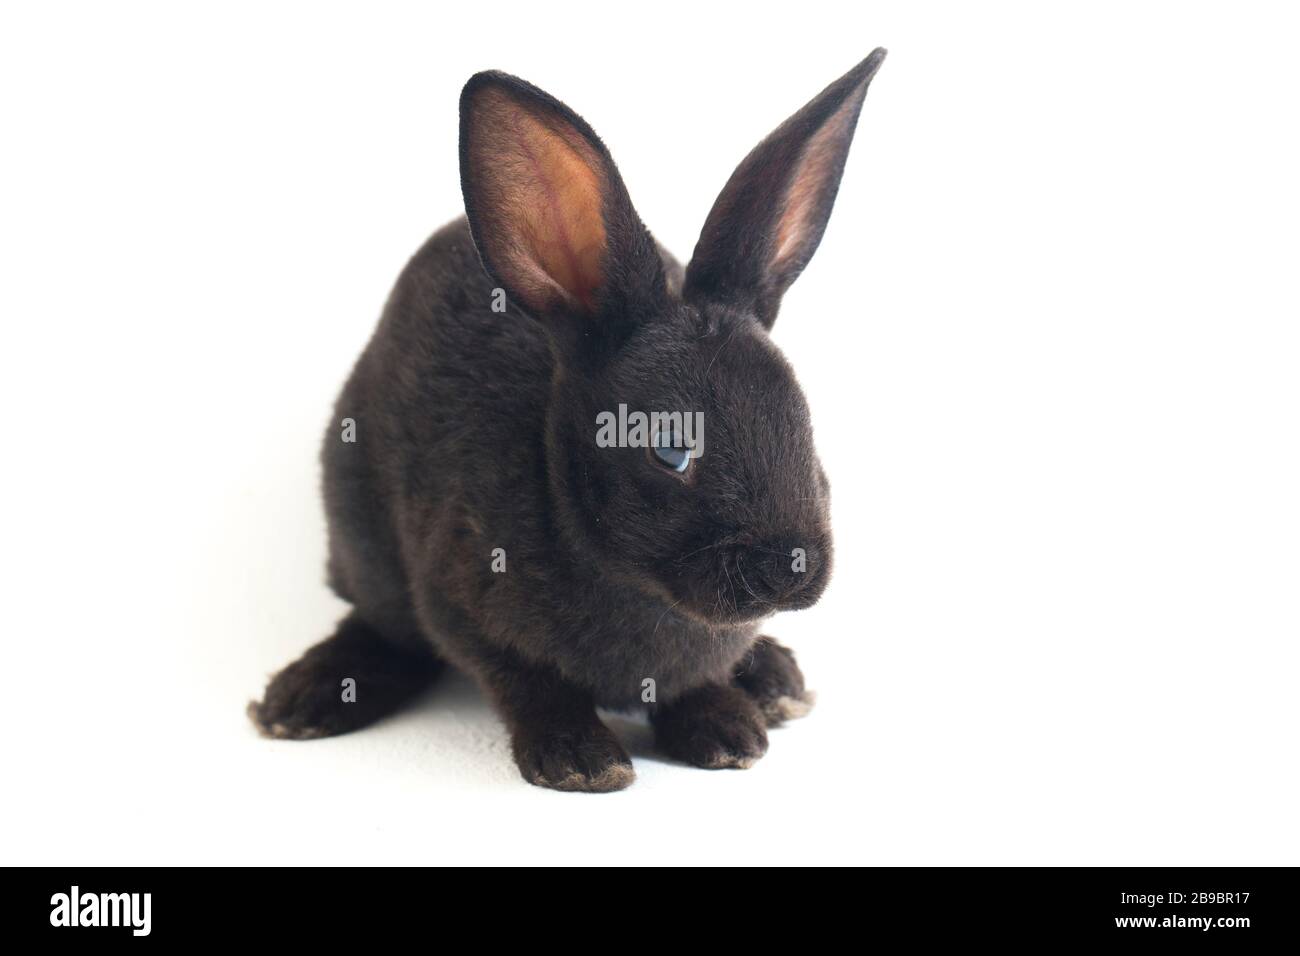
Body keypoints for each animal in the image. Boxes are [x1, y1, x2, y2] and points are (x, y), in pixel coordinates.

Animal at [249, 49, 887, 791]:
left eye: (803, 422)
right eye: (670, 449)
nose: (792, 565)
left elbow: (694, 684)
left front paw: (730, 732)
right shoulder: (462, 605)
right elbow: (529, 683)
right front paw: (582, 761)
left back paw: (777, 680)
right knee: (381, 627)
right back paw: (302, 699)